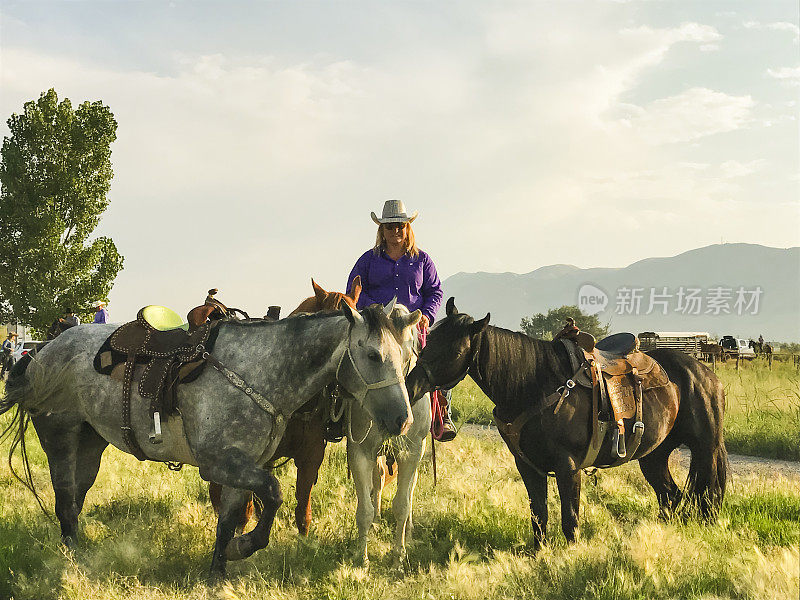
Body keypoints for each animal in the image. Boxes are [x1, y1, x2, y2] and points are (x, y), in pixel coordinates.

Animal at [3, 304, 418, 576]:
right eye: (373, 354)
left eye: (407, 356)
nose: (402, 420)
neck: (261, 370)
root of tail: (43, 350)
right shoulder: (220, 463)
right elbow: (272, 493)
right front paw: (243, 547)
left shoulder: (243, 465)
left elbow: (229, 519)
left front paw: (218, 573)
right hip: (61, 438)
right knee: (64, 499)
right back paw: (71, 561)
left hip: (90, 444)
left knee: (75, 498)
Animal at [410, 298, 728, 552]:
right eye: (430, 340)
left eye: (452, 350)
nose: (411, 386)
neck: (533, 385)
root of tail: (704, 372)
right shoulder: (528, 467)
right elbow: (539, 516)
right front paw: (540, 556)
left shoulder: (568, 467)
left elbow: (570, 519)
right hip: (654, 456)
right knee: (671, 497)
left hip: (705, 450)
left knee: (707, 498)